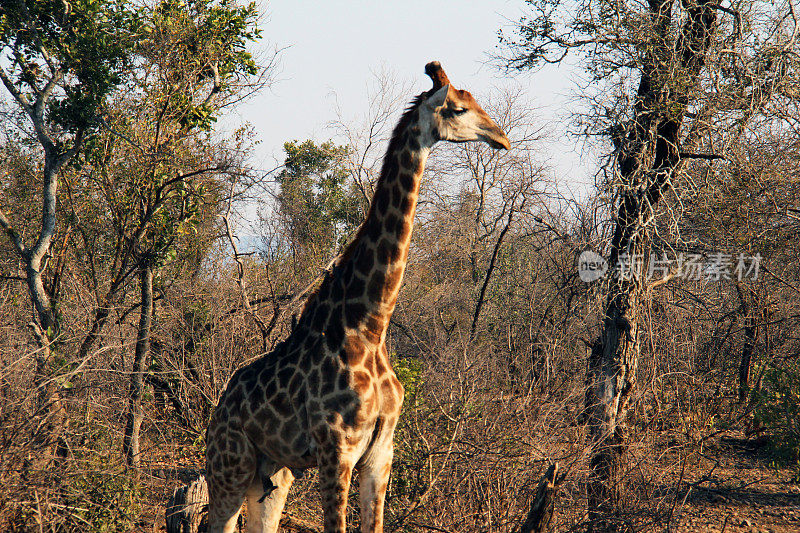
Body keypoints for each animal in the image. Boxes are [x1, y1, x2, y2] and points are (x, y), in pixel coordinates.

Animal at [205, 59, 506, 532]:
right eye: (458, 109)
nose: (501, 138)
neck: (369, 324)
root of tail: (217, 412)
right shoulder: (337, 452)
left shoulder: (380, 454)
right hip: (229, 467)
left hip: (271, 475)